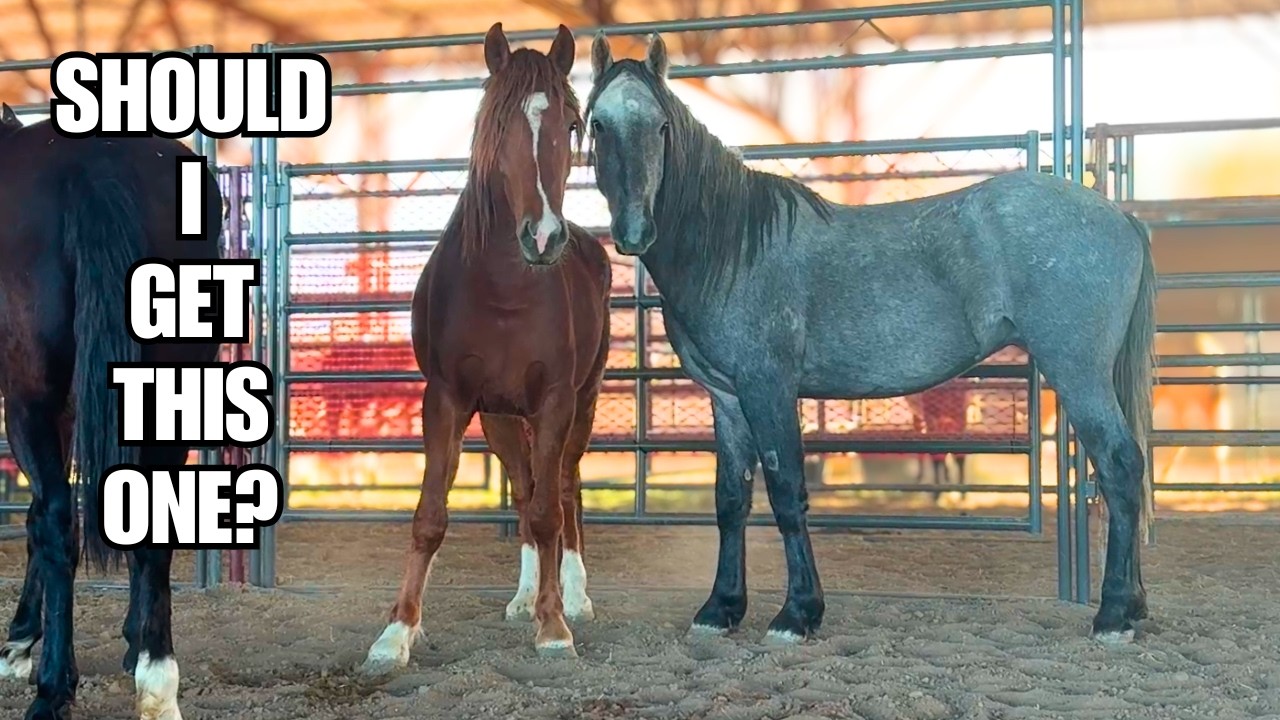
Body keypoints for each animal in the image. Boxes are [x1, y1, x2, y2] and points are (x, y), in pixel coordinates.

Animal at [0, 105, 223, 719]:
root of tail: (93, 159)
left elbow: (41, 518)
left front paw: (21, 646)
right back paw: (155, 676)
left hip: (29, 398)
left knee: (56, 520)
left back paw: (54, 689)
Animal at [361, 23, 612, 670]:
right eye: (496, 124)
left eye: (572, 125)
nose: (543, 238)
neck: (502, 290)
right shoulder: (448, 399)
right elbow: (431, 515)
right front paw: (395, 633)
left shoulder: (554, 401)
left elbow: (550, 514)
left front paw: (554, 628)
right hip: (500, 418)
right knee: (524, 491)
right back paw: (524, 598)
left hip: (584, 403)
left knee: (564, 489)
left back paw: (574, 598)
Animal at [585, 32, 1157, 644]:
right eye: (598, 124)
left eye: (661, 125)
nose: (635, 231)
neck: (732, 245)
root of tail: (1120, 217)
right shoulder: (728, 397)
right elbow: (731, 500)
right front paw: (721, 608)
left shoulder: (769, 388)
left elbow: (786, 493)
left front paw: (797, 614)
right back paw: (1132, 605)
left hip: (1077, 370)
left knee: (1120, 466)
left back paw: (1113, 613)